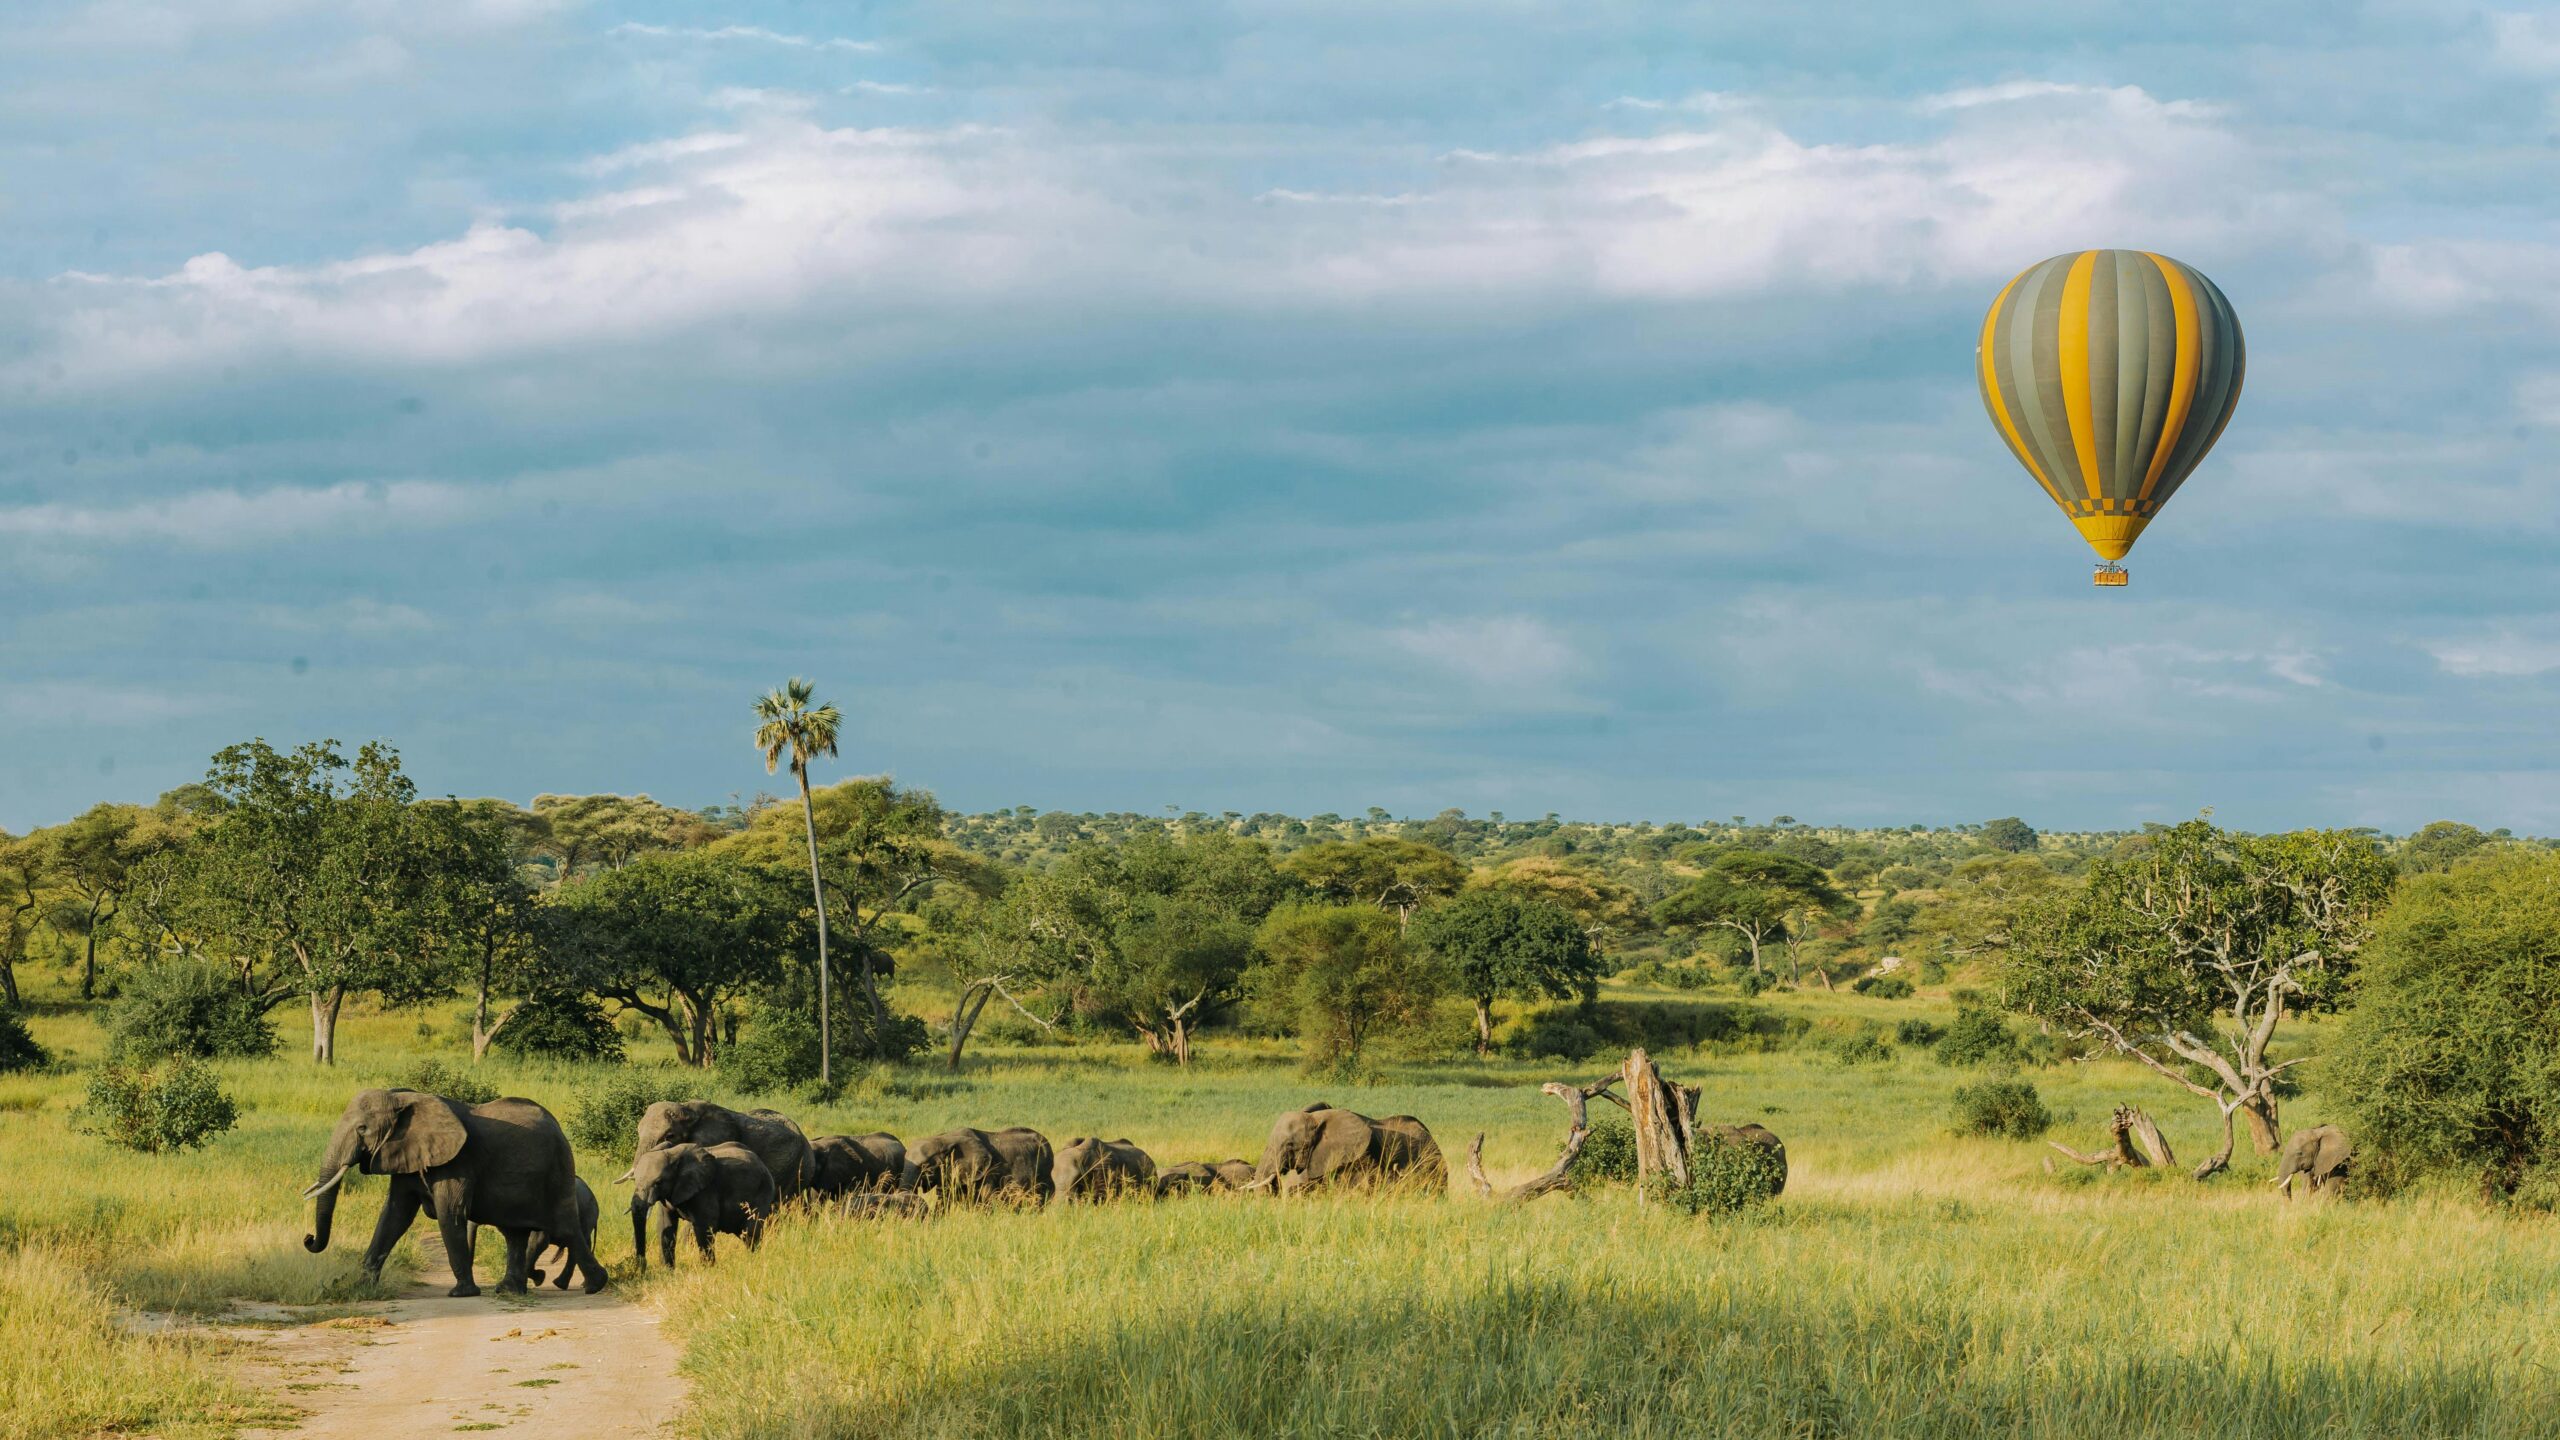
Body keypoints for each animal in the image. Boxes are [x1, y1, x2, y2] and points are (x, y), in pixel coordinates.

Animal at [302, 1088, 606, 1298]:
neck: (404, 1097)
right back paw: (509, 1290)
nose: (308, 1238)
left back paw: (593, 1286)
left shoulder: (458, 1162)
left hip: (558, 1170)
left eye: (362, 1129)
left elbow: (450, 1213)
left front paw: (462, 1294)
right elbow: (394, 1215)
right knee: (515, 1234)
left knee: (565, 1228)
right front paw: (360, 1287)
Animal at [630, 1141, 776, 1269]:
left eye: (658, 1182)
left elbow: (704, 1227)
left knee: (751, 1233)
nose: (642, 1267)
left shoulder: (705, 1190)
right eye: (635, 1180)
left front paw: (707, 1270)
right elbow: (665, 1225)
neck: (673, 1154)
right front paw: (667, 1271)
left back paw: (753, 1262)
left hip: (763, 1191)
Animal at [902, 1126, 1054, 1204]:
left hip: (1044, 1175)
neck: (944, 1138)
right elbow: (943, 1200)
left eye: (925, 1168)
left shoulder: (987, 1172)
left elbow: (987, 1199)